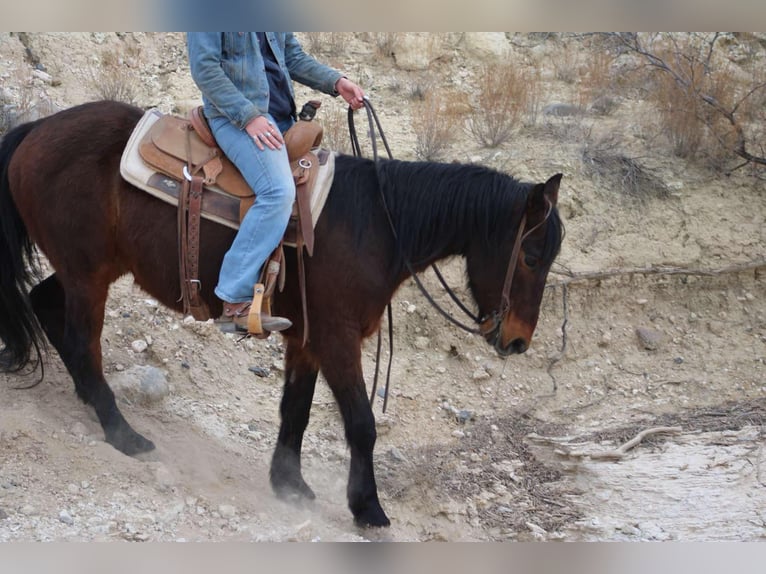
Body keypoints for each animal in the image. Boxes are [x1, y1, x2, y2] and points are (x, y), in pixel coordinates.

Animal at [0, 100, 563, 527]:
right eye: (532, 257)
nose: (517, 341)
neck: (376, 224)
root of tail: (35, 130)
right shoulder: (336, 338)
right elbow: (361, 423)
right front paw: (368, 508)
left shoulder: (307, 339)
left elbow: (296, 409)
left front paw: (289, 485)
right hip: (88, 275)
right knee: (81, 341)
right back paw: (123, 433)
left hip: (89, 271)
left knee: (45, 305)